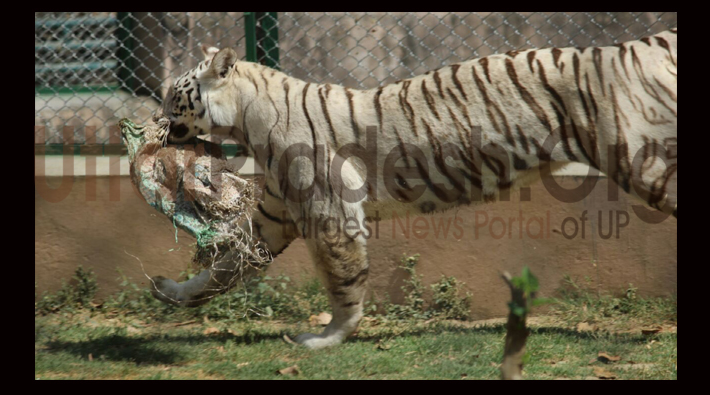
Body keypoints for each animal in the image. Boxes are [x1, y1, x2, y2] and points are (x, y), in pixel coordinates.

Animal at [156, 30, 680, 350]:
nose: (155, 120)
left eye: (173, 94)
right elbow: (227, 265)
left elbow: (343, 279)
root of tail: (637, 46)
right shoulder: (278, 211)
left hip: (642, 161)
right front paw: (173, 292)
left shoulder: (329, 210)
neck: (246, 124)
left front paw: (328, 337)